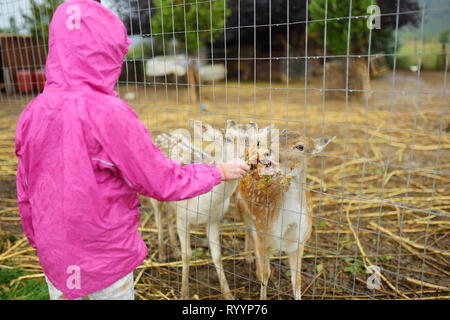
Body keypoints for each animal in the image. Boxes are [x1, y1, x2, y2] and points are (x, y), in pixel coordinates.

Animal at [236, 129, 334, 298]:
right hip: (241, 205)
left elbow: (297, 279)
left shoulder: (300, 242)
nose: (267, 151)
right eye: (278, 136)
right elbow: (265, 274)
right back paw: (248, 258)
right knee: (248, 230)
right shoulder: (263, 234)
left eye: (300, 146)